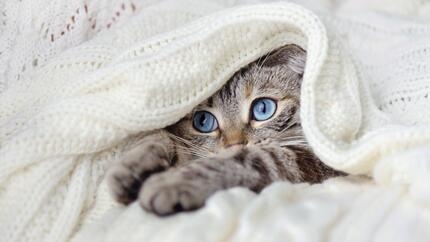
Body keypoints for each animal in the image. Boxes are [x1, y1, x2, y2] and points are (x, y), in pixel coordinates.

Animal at [108, 43, 346, 216]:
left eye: (263, 109)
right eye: (203, 121)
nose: (235, 144)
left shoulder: (315, 157)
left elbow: (246, 159)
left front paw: (170, 182)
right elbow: (160, 135)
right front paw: (132, 167)